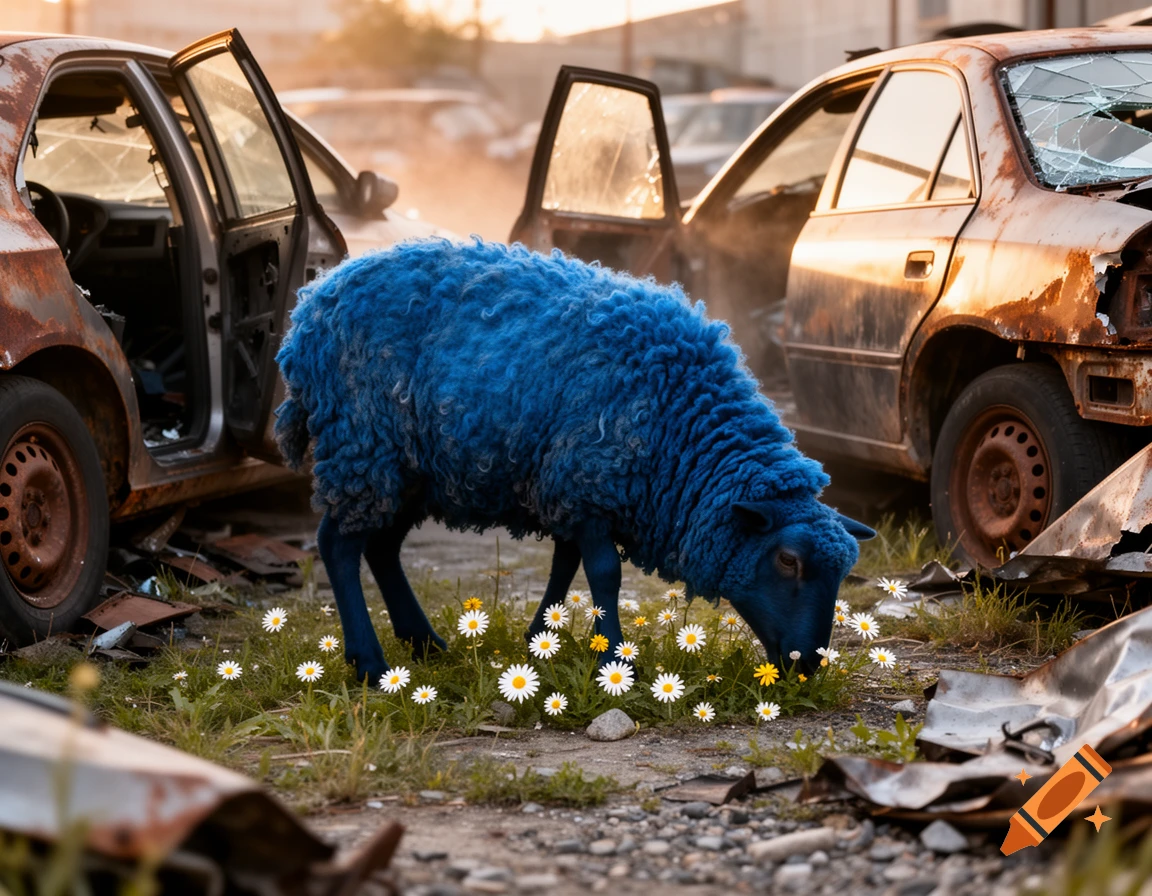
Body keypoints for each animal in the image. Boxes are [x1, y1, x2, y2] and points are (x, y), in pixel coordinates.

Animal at [275, 238, 873, 684]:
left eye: (845, 572)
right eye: (788, 561)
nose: (810, 665)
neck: (679, 420)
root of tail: (312, 302)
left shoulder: (566, 485)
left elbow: (564, 564)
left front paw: (544, 637)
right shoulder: (588, 481)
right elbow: (604, 572)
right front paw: (611, 655)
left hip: (410, 469)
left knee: (381, 547)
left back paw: (424, 643)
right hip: (362, 444)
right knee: (338, 545)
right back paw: (369, 663)